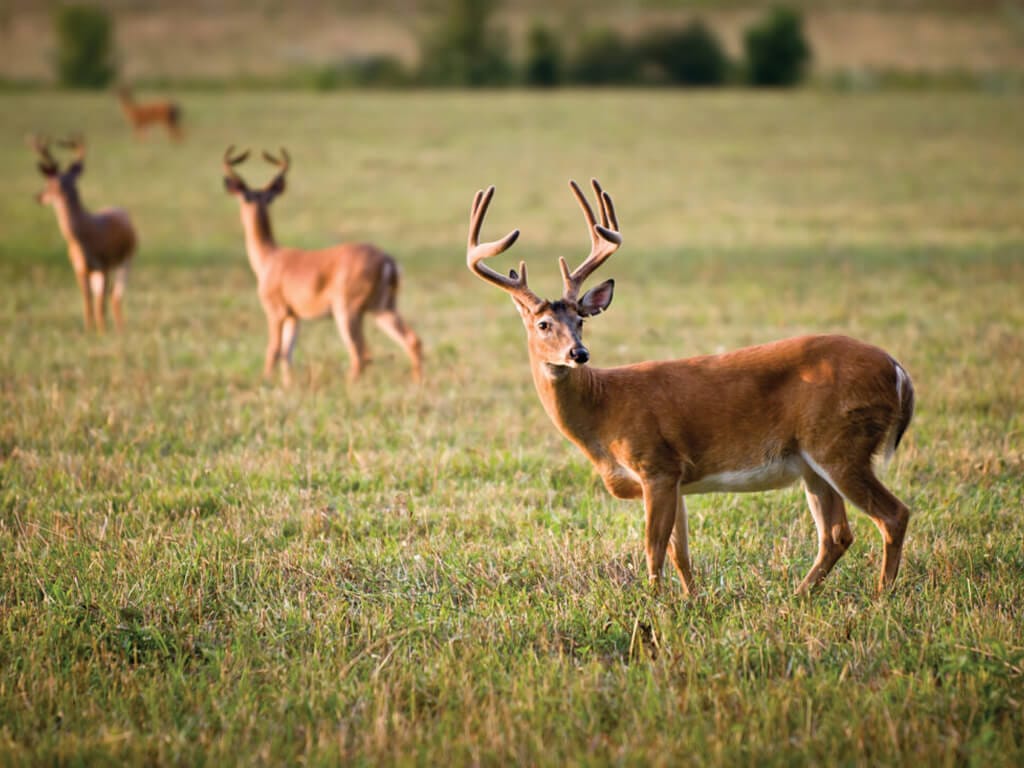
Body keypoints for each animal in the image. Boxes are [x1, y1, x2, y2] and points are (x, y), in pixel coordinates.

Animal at [32, 135, 136, 332]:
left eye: (49, 184)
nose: (38, 197)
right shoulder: (80, 269)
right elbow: (87, 301)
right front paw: (89, 330)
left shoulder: (103, 264)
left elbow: (100, 303)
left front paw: (102, 332)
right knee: (105, 296)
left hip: (125, 261)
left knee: (115, 295)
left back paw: (120, 328)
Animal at [222, 146, 423, 385]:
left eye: (248, 197)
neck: (269, 257)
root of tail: (388, 261)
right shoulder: (294, 315)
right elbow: (287, 353)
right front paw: (288, 385)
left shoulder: (276, 310)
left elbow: (273, 350)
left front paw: (267, 382)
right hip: (382, 307)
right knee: (412, 340)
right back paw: (417, 382)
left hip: (347, 309)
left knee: (361, 353)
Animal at [466, 179, 915, 596]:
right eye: (544, 324)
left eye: (580, 320)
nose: (579, 353)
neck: (603, 409)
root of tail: (898, 371)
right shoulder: (676, 478)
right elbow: (680, 552)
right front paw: (691, 600)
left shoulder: (656, 464)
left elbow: (653, 550)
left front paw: (653, 603)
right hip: (813, 462)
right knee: (837, 533)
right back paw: (799, 595)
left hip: (841, 443)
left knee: (893, 514)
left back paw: (881, 597)